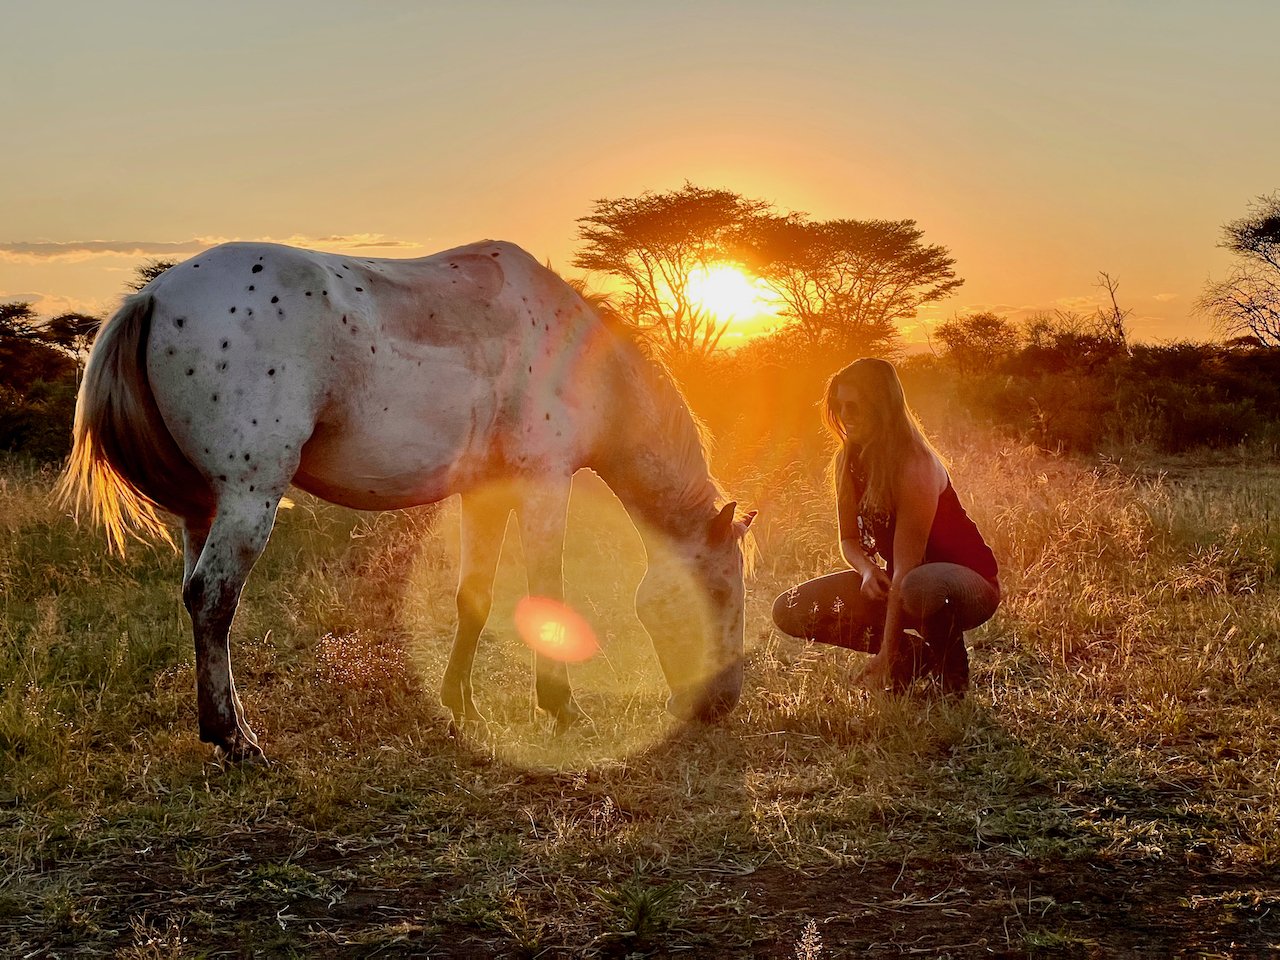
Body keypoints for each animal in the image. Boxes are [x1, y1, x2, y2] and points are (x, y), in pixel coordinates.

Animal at [61, 240, 755, 761]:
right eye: (724, 591)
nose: (721, 704)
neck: (578, 358)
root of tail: (152, 296)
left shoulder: (486, 494)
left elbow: (474, 598)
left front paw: (460, 704)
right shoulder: (545, 482)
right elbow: (548, 592)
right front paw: (562, 709)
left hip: (201, 508)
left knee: (197, 595)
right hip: (247, 500)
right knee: (213, 598)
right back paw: (235, 739)